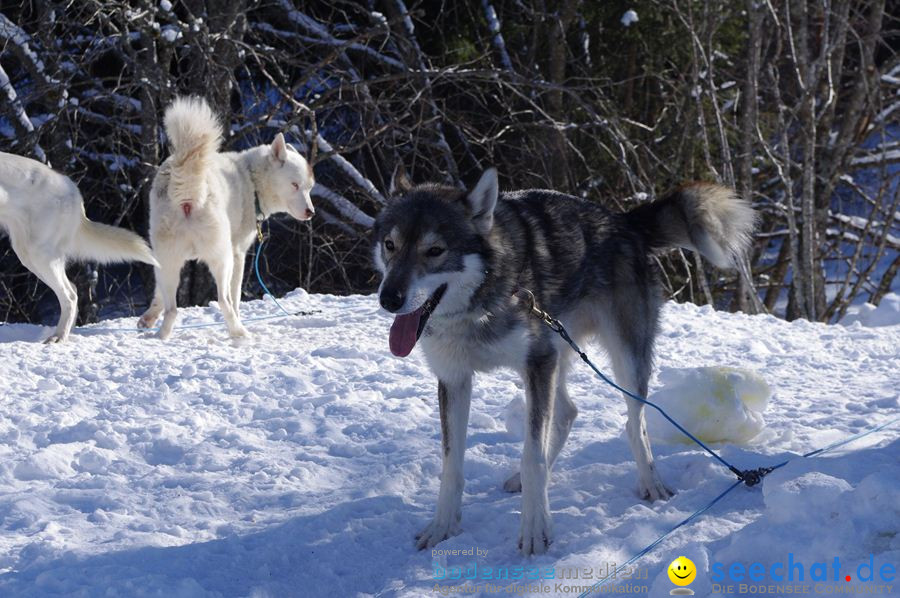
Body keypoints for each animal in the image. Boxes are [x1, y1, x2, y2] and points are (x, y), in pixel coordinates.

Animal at [0, 152, 159, 344]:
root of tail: (72, 188)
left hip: (39, 254)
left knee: (70, 295)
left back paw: (58, 337)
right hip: (29, 255)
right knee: (73, 290)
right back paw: (66, 333)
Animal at [140, 99, 316, 342]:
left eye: (309, 188)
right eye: (295, 185)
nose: (311, 212)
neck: (251, 179)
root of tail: (187, 189)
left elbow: (157, 295)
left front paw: (148, 318)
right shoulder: (239, 254)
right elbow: (236, 298)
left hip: (167, 260)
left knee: (172, 309)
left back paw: (162, 335)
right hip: (223, 260)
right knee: (224, 301)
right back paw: (239, 332)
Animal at [370, 169, 752, 556]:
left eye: (435, 251)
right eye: (390, 245)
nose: (389, 299)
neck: (481, 304)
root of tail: (622, 221)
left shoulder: (538, 363)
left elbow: (533, 456)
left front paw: (535, 529)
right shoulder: (456, 378)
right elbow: (452, 465)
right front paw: (443, 526)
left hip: (621, 359)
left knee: (634, 423)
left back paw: (651, 483)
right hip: (557, 352)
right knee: (568, 412)